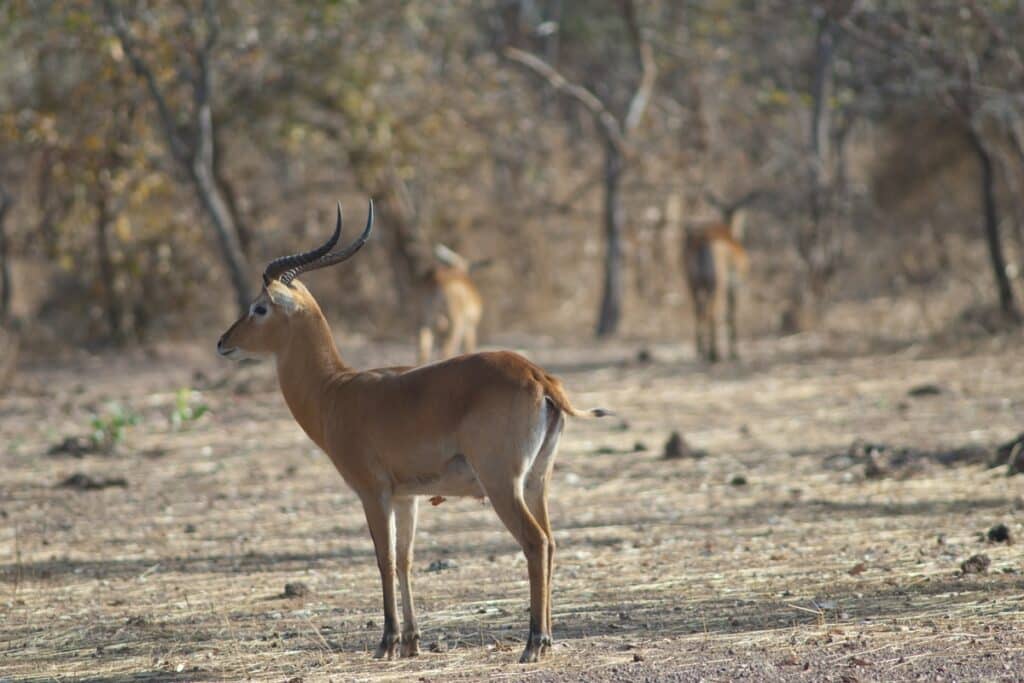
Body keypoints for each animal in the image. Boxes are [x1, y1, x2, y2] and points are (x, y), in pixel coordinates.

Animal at [215, 201, 606, 663]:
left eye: (259, 307)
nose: (223, 342)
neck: (335, 391)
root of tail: (538, 376)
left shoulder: (373, 492)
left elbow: (383, 559)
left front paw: (386, 642)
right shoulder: (408, 497)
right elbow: (405, 559)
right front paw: (411, 641)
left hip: (501, 484)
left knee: (535, 542)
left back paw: (532, 644)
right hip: (536, 481)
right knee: (552, 541)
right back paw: (544, 640)